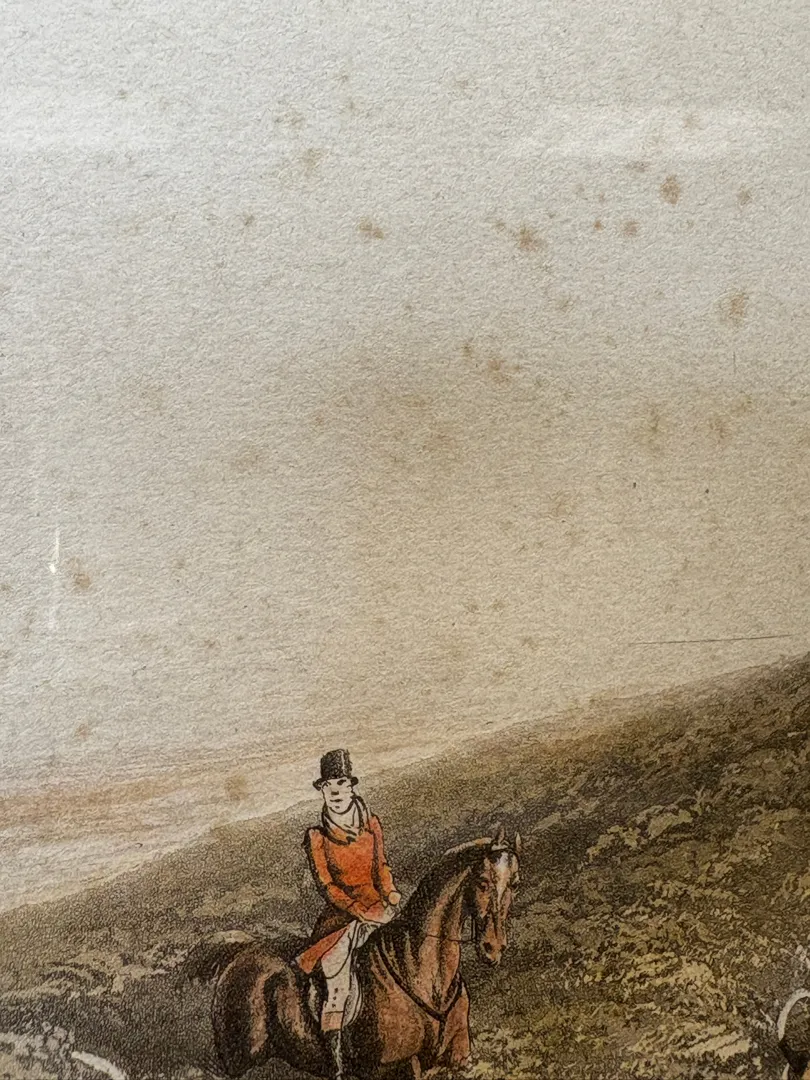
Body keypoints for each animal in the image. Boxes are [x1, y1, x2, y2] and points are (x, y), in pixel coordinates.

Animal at [184, 828, 521, 1080]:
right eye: (482, 882)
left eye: (515, 883)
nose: (493, 948)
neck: (421, 972)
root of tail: (243, 952)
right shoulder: (398, 1069)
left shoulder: (459, 1059)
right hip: (240, 1064)